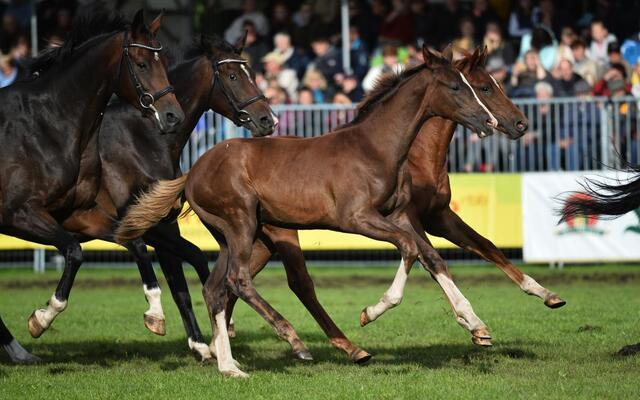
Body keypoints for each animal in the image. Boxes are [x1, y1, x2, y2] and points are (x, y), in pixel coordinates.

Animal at [0, 7, 182, 364]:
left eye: (164, 62)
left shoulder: (76, 214)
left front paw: (155, 314)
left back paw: (19, 353)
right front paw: (41, 318)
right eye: (141, 63)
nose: (172, 116)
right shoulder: (18, 214)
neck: (50, 124)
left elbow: (136, 243)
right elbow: (74, 252)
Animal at [25, 34, 274, 360]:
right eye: (232, 76)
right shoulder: (137, 222)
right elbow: (149, 254)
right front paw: (159, 316)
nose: (268, 120)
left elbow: (184, 277)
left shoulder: (164, 224)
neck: (143, 140)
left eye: (252, 74)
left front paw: (203, 340)